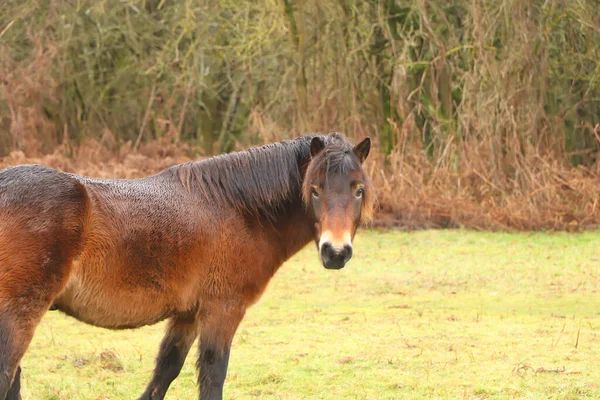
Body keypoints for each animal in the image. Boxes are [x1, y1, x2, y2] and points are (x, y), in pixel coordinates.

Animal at [0, 134, 372, 400]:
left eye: (358, 190)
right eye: (314, 189)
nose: (335, 252)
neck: (237, 209)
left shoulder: (188, 315)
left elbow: (164, 374)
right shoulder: (222, 310)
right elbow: (212, 376)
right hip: (21, 314)